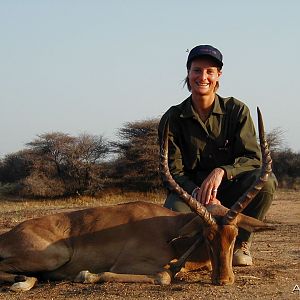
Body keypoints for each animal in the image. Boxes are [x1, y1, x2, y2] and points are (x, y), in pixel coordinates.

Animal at [0, 107, 274, 290]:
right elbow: (164, 276)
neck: (171, 233)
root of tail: (9, 234)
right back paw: (22, 282)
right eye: (207, 236)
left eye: (234, 235)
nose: (224, 280)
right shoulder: (128, 264)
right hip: (53, 255)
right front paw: (86, 275)